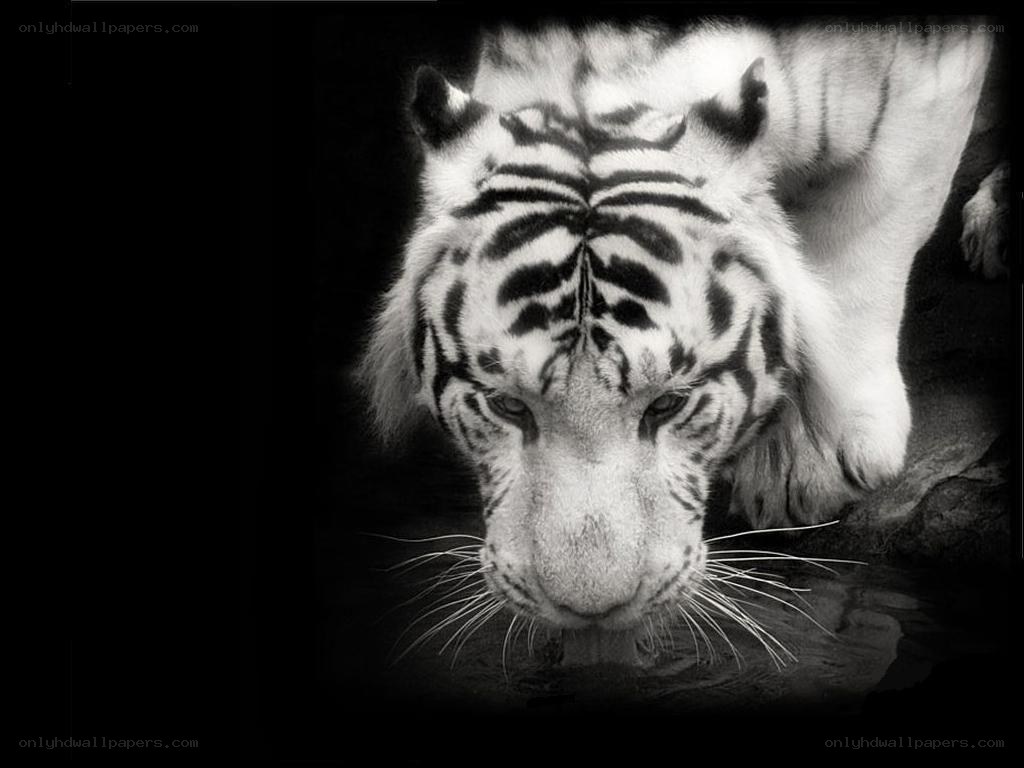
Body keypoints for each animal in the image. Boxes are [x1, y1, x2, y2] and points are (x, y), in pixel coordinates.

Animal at [358, 19, 1007, 654]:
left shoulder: (930, 83)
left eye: (668, 404)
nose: (591, 613)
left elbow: (864, 235)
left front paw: (808, 458)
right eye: (507, 405)